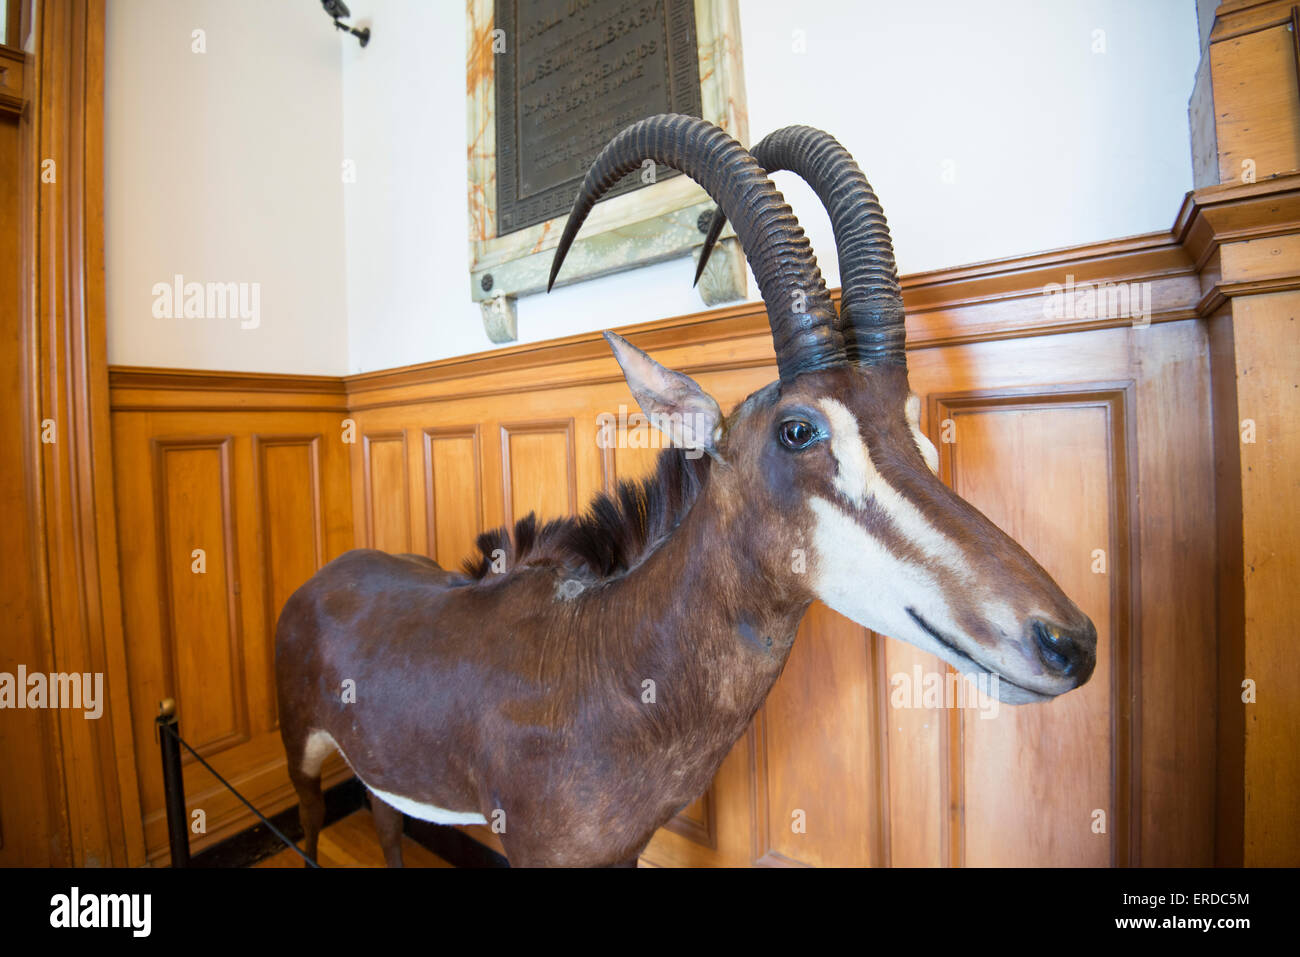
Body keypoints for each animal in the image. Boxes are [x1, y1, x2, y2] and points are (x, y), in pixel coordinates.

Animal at [276, 111, 1097, 868]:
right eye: (798, 430)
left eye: (913, 426)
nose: (1070, 642)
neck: (602, 654)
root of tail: (321, 579)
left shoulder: (626, 849)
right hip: (302, 754)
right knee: (312, 822)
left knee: (385, 823)